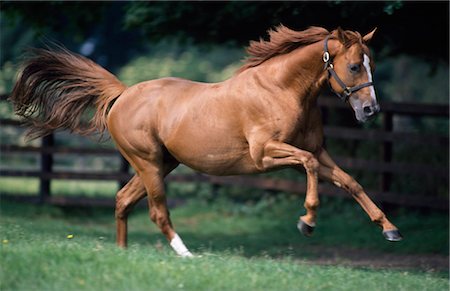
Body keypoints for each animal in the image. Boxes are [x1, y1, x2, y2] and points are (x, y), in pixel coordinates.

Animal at [9, 25, 400, 258]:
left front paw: (389, 229)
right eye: (354, 66)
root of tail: (123, 94)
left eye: (371, 64)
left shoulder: (319, 149)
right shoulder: (266, 155)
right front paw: (307, 221)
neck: (281, 90)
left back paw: (123, 253)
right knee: (157, 210)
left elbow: (349, 181)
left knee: (122, 200)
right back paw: (186, 254)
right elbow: (310, 165)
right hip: (148, 163)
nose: (370, 110)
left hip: (163, 163)